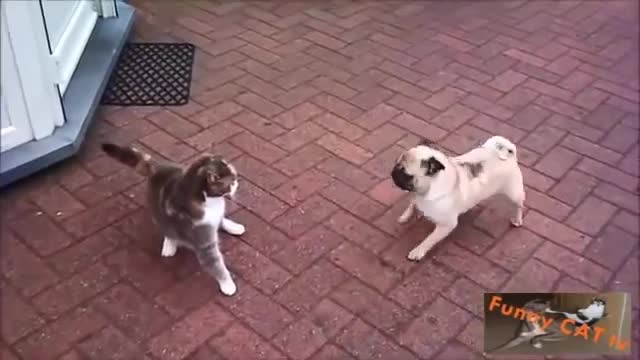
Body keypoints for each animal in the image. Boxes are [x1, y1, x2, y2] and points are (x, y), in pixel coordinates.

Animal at [101, 142, 244, 296]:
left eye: (235, 177)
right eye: (231, 182)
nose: (237, 183)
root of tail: (157, 169)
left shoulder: (215, 216)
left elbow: (221, 219)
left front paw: (232, 226)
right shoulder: (204, 243)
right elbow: (216, 265)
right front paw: (227, 284)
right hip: (158, 216)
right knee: (168, 230)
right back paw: (170, 245)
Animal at [390, 136, 524, 260]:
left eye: (406, 174)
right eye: (397, 164)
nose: (393, 172)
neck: (426, 191)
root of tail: (509, 154)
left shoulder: (447, 225)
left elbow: (429, 239)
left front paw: (418, 251)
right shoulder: (416, 196)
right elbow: (412, 203)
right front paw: (406, 216)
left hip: (514, 193)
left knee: (519, 205)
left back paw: (517, 220)